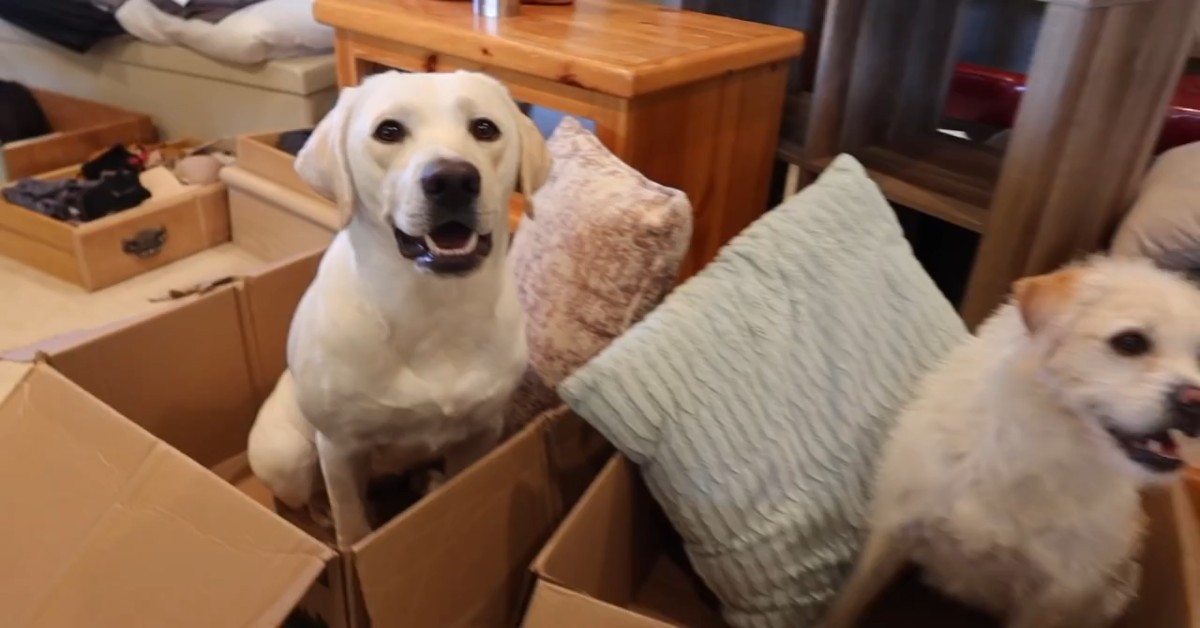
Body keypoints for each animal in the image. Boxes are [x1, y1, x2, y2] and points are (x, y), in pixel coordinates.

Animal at [252, 69, 556, 545]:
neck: (432, 308)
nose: (453, 180)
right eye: (389, 131)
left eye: (484, 128)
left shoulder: (483, 431)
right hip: (287, 455)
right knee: (305, 493)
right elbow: (352, 523)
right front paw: (350, 547)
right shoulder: (339, 448)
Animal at [820, 258, 1200, 628]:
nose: (1195, 401)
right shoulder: (893, 529)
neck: (1040, 451)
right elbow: (846, 604)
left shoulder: (1051, 598)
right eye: (1130, 342)